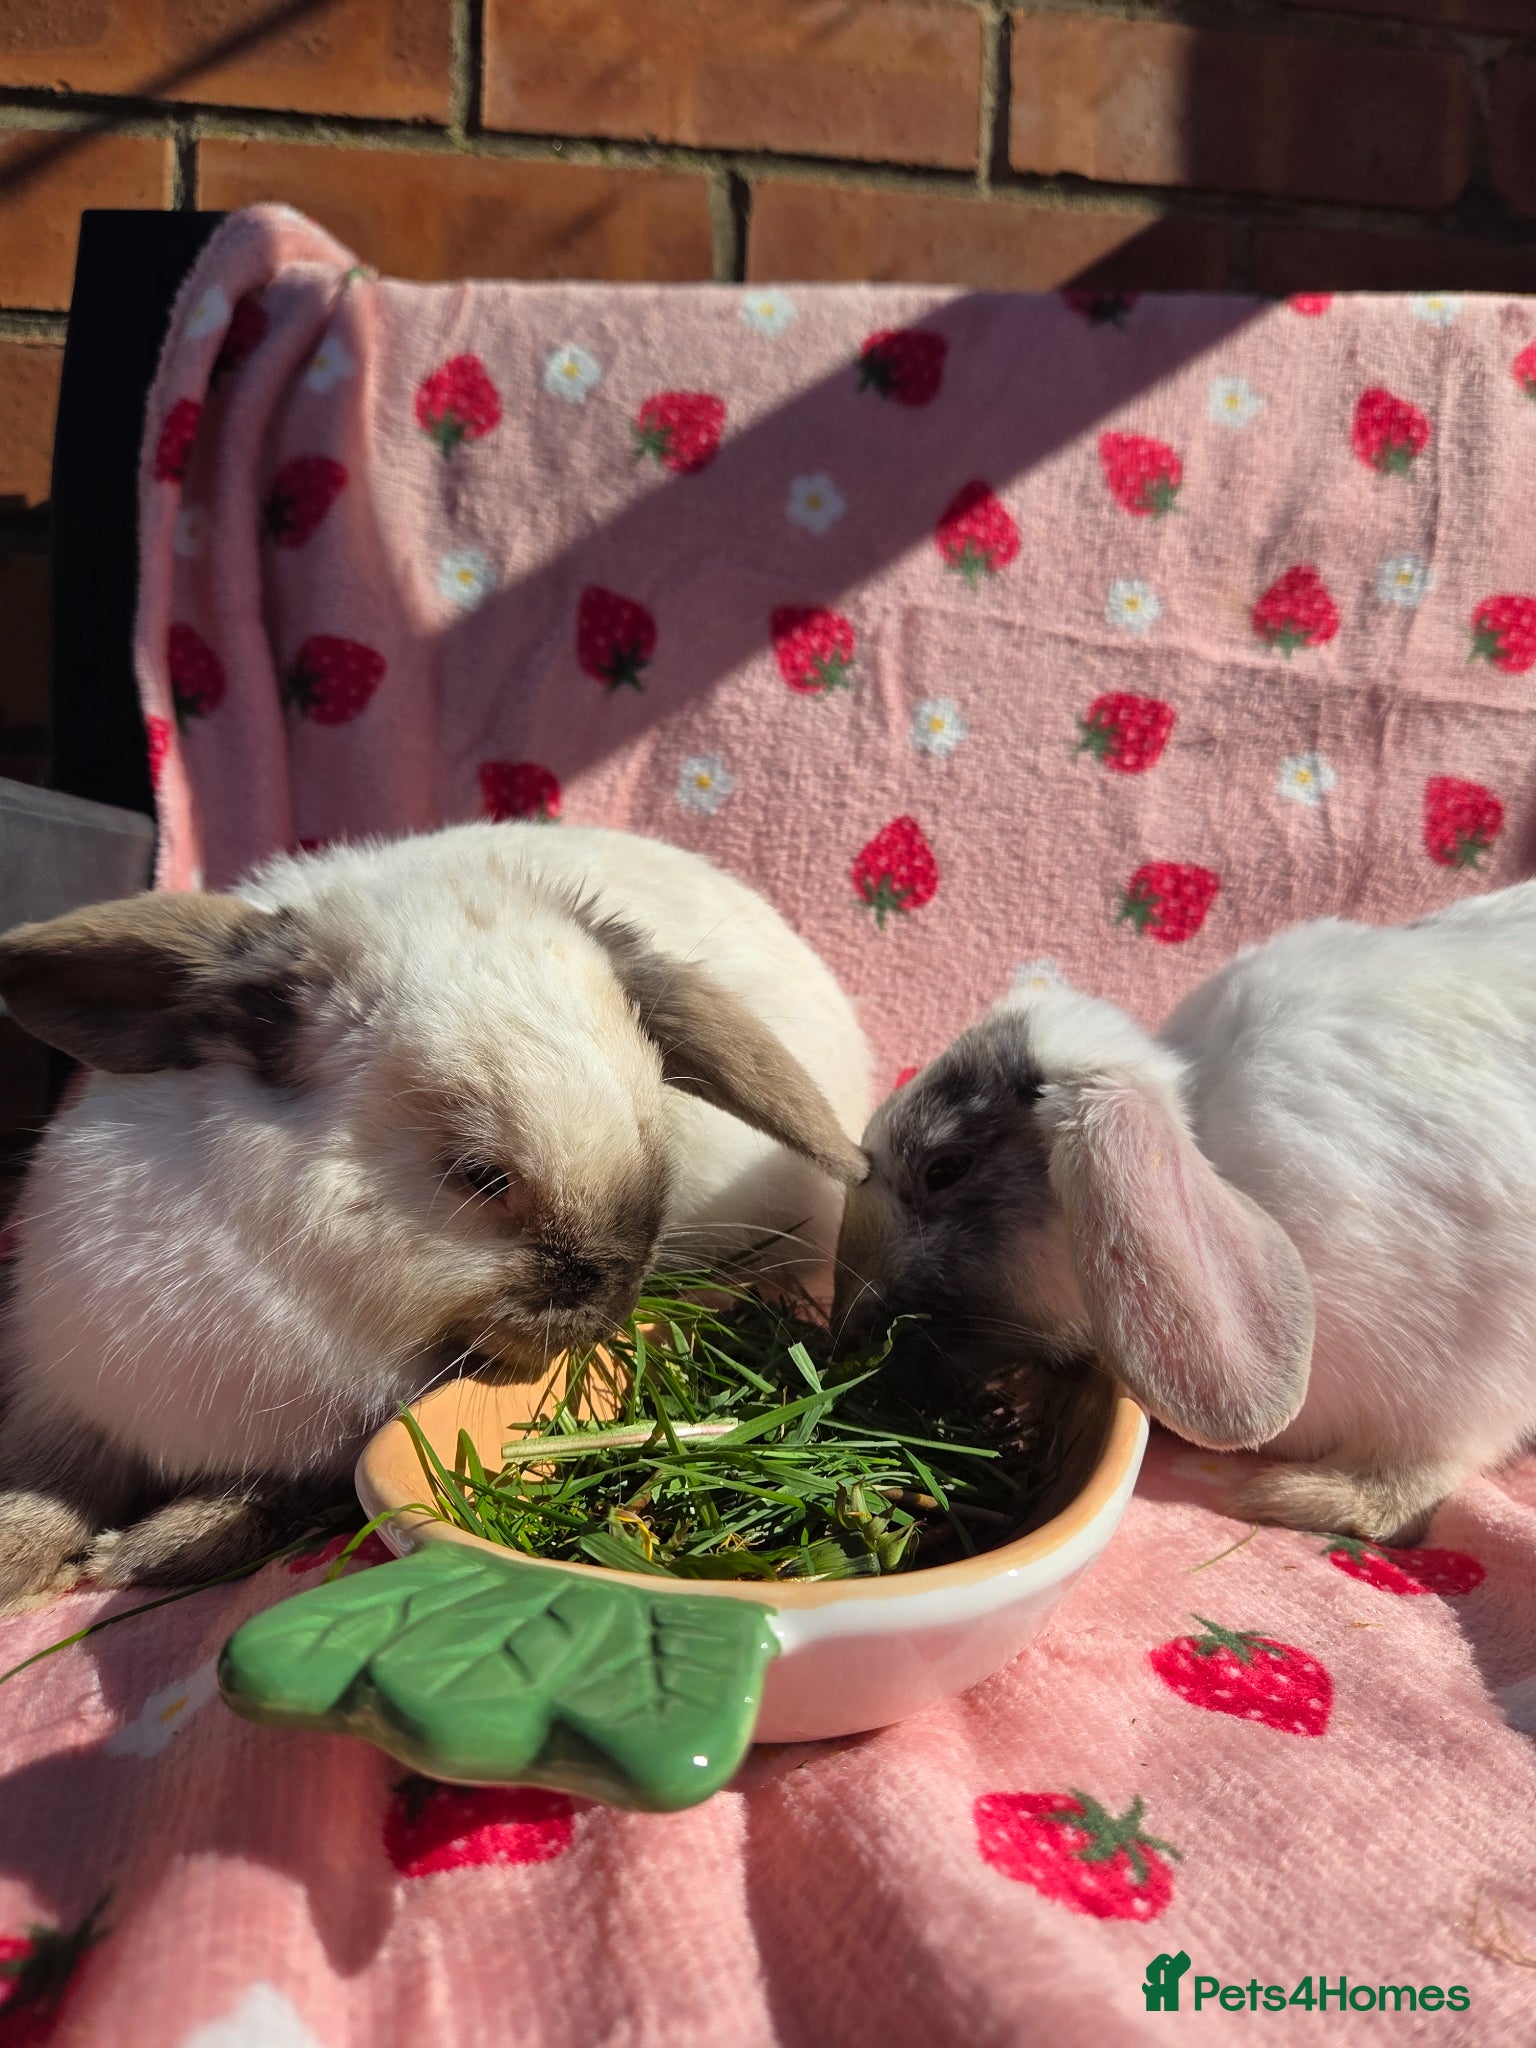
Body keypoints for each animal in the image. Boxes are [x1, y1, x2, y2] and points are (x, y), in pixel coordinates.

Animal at [0, 821, 872, 1612]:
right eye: (480, 1176)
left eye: (656, 1126)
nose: (611, 1304)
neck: (284, 1282)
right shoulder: (65, 1400)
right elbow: (43, 1490)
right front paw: (23, 1559)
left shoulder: (313, 1463)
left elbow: (258, 1501)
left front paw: (141, 1552)